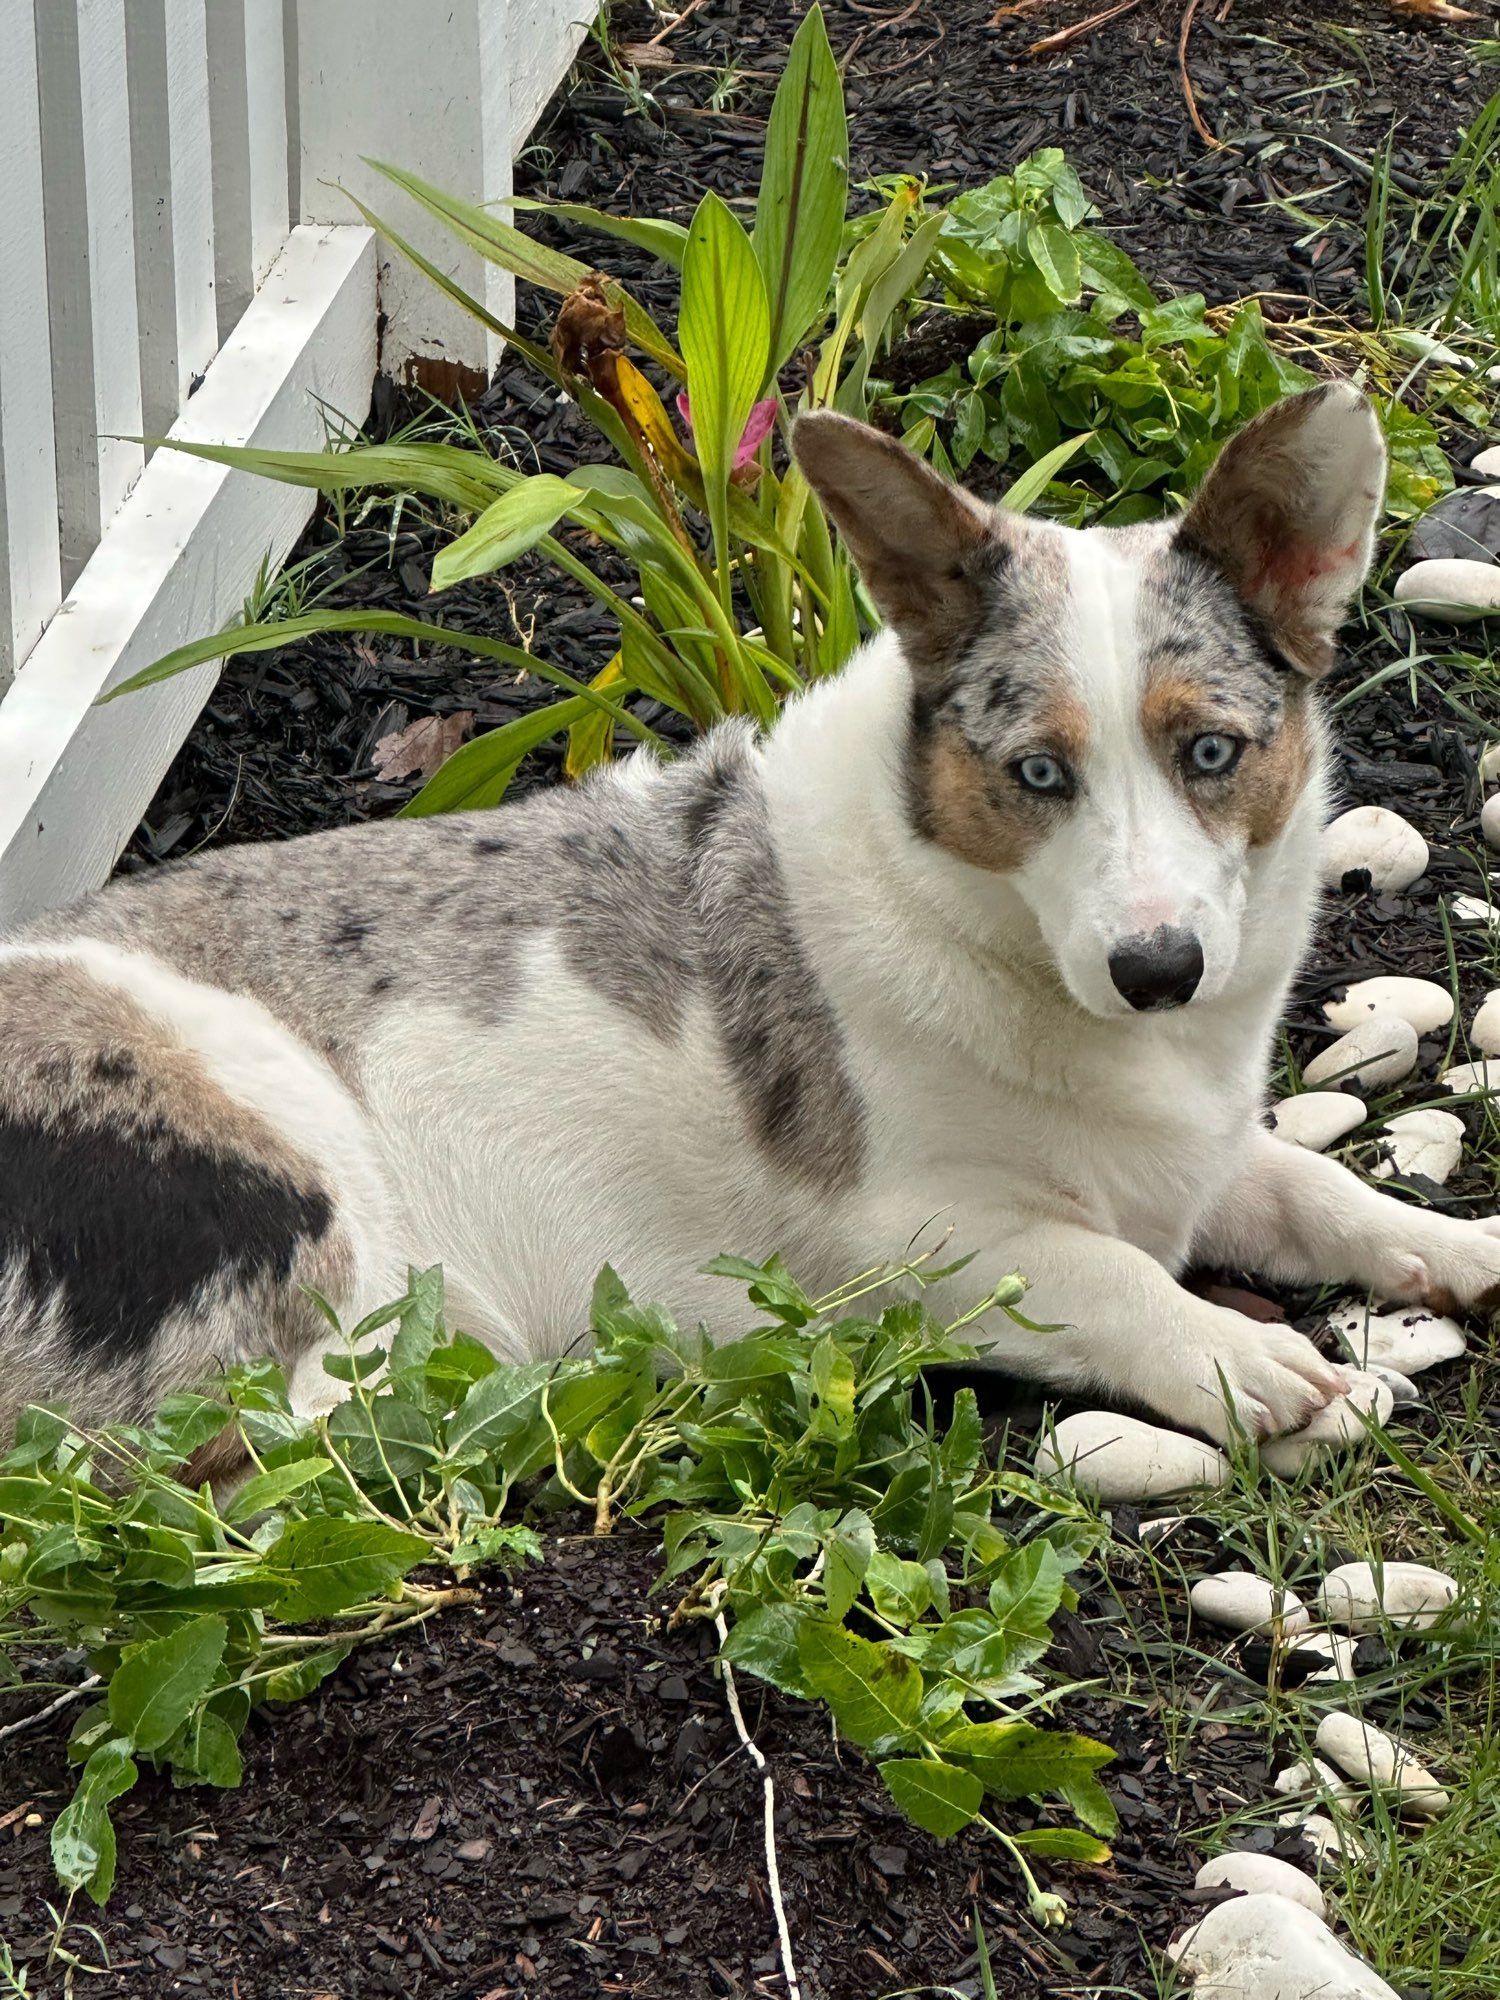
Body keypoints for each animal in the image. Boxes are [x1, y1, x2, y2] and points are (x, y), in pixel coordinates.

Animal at [5, 386, 1496, 1456]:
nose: (1158, 970)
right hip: (305, 1179)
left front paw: (1456, 1248)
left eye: (1211, 752)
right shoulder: (921, 1238)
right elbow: (1116, 1279)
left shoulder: (1195, 1158)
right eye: (1037, 774)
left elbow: (1315, 1190)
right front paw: (1250, 1362)